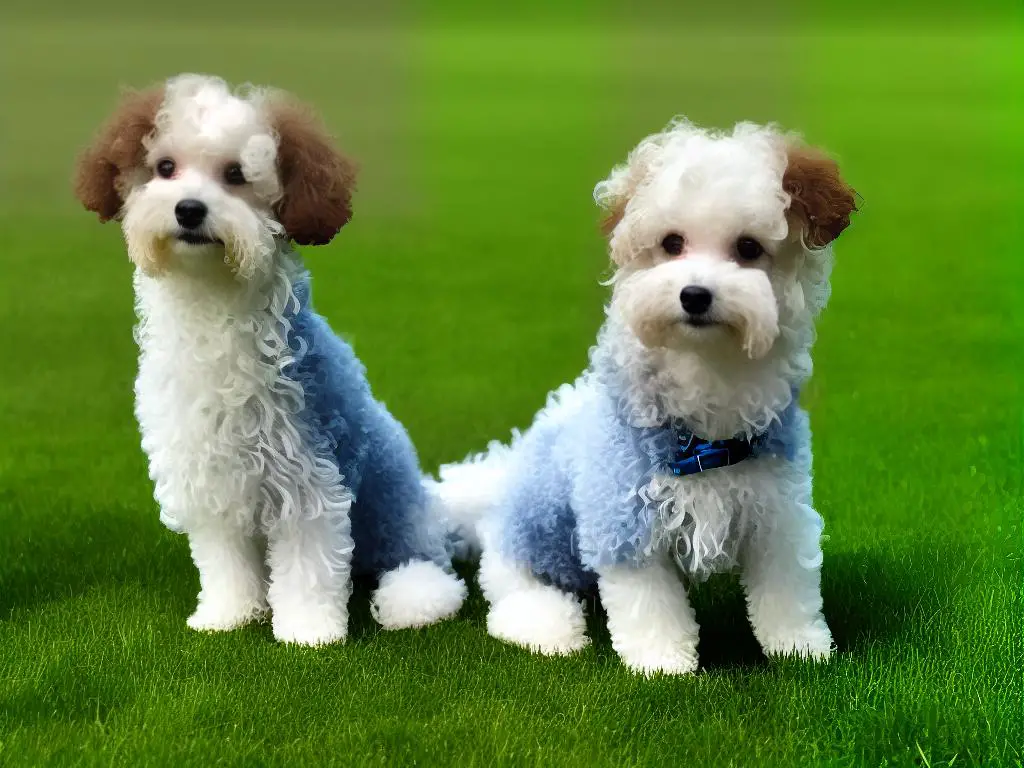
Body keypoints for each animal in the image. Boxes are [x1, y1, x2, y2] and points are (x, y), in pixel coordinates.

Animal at [74, 75, 466, 647]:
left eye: (237, 174)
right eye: (164, 166)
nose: (189, 209)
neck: (212, 304)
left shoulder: (308, 472)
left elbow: (308, 566)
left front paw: (309, 633)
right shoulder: (210, 474)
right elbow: (223, 562)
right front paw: (228, 615)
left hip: (393, 502)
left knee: (424, 566)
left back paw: (412, 601)